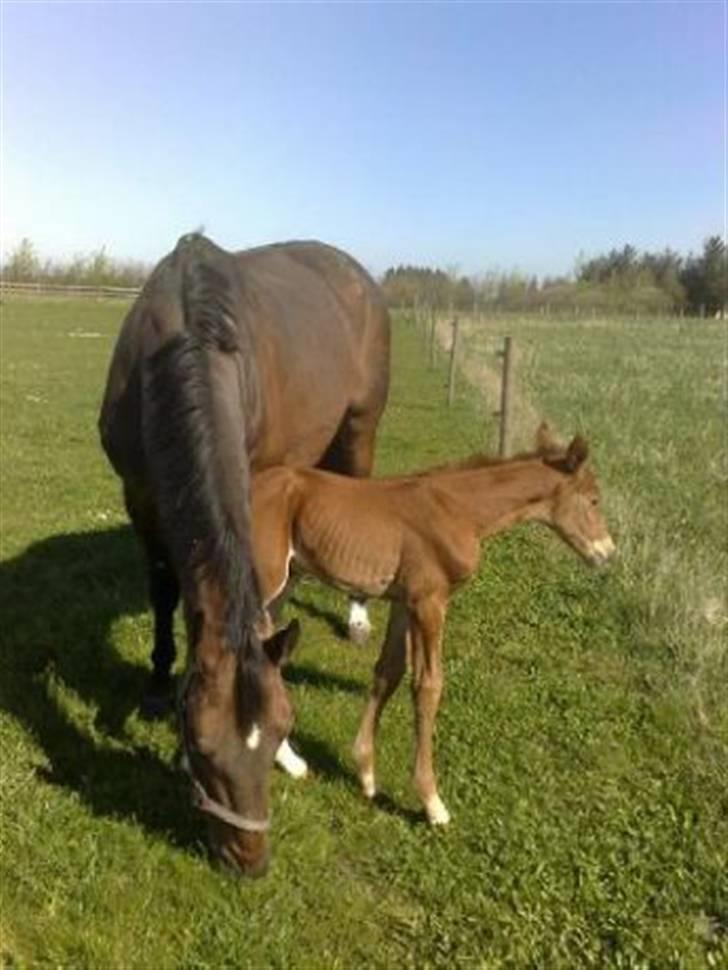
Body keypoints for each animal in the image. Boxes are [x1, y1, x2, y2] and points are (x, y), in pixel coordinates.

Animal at [101, 233, 392, 868]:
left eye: (284, 729)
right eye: (202, 746)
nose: (249, 859)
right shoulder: (140, 496)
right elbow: (163, 590)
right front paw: (157, 683)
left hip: (358, 430)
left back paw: (356, 615)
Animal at [250, 424, 616, 824]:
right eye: (594, 500)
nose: (607, 553)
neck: (458, 510)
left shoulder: (403, 601)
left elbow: (389, 672)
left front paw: (366, 774)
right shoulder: (430, 601)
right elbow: (428, 686)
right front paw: (431, 801)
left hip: (285, 584)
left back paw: (289, 760)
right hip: (263, 579)